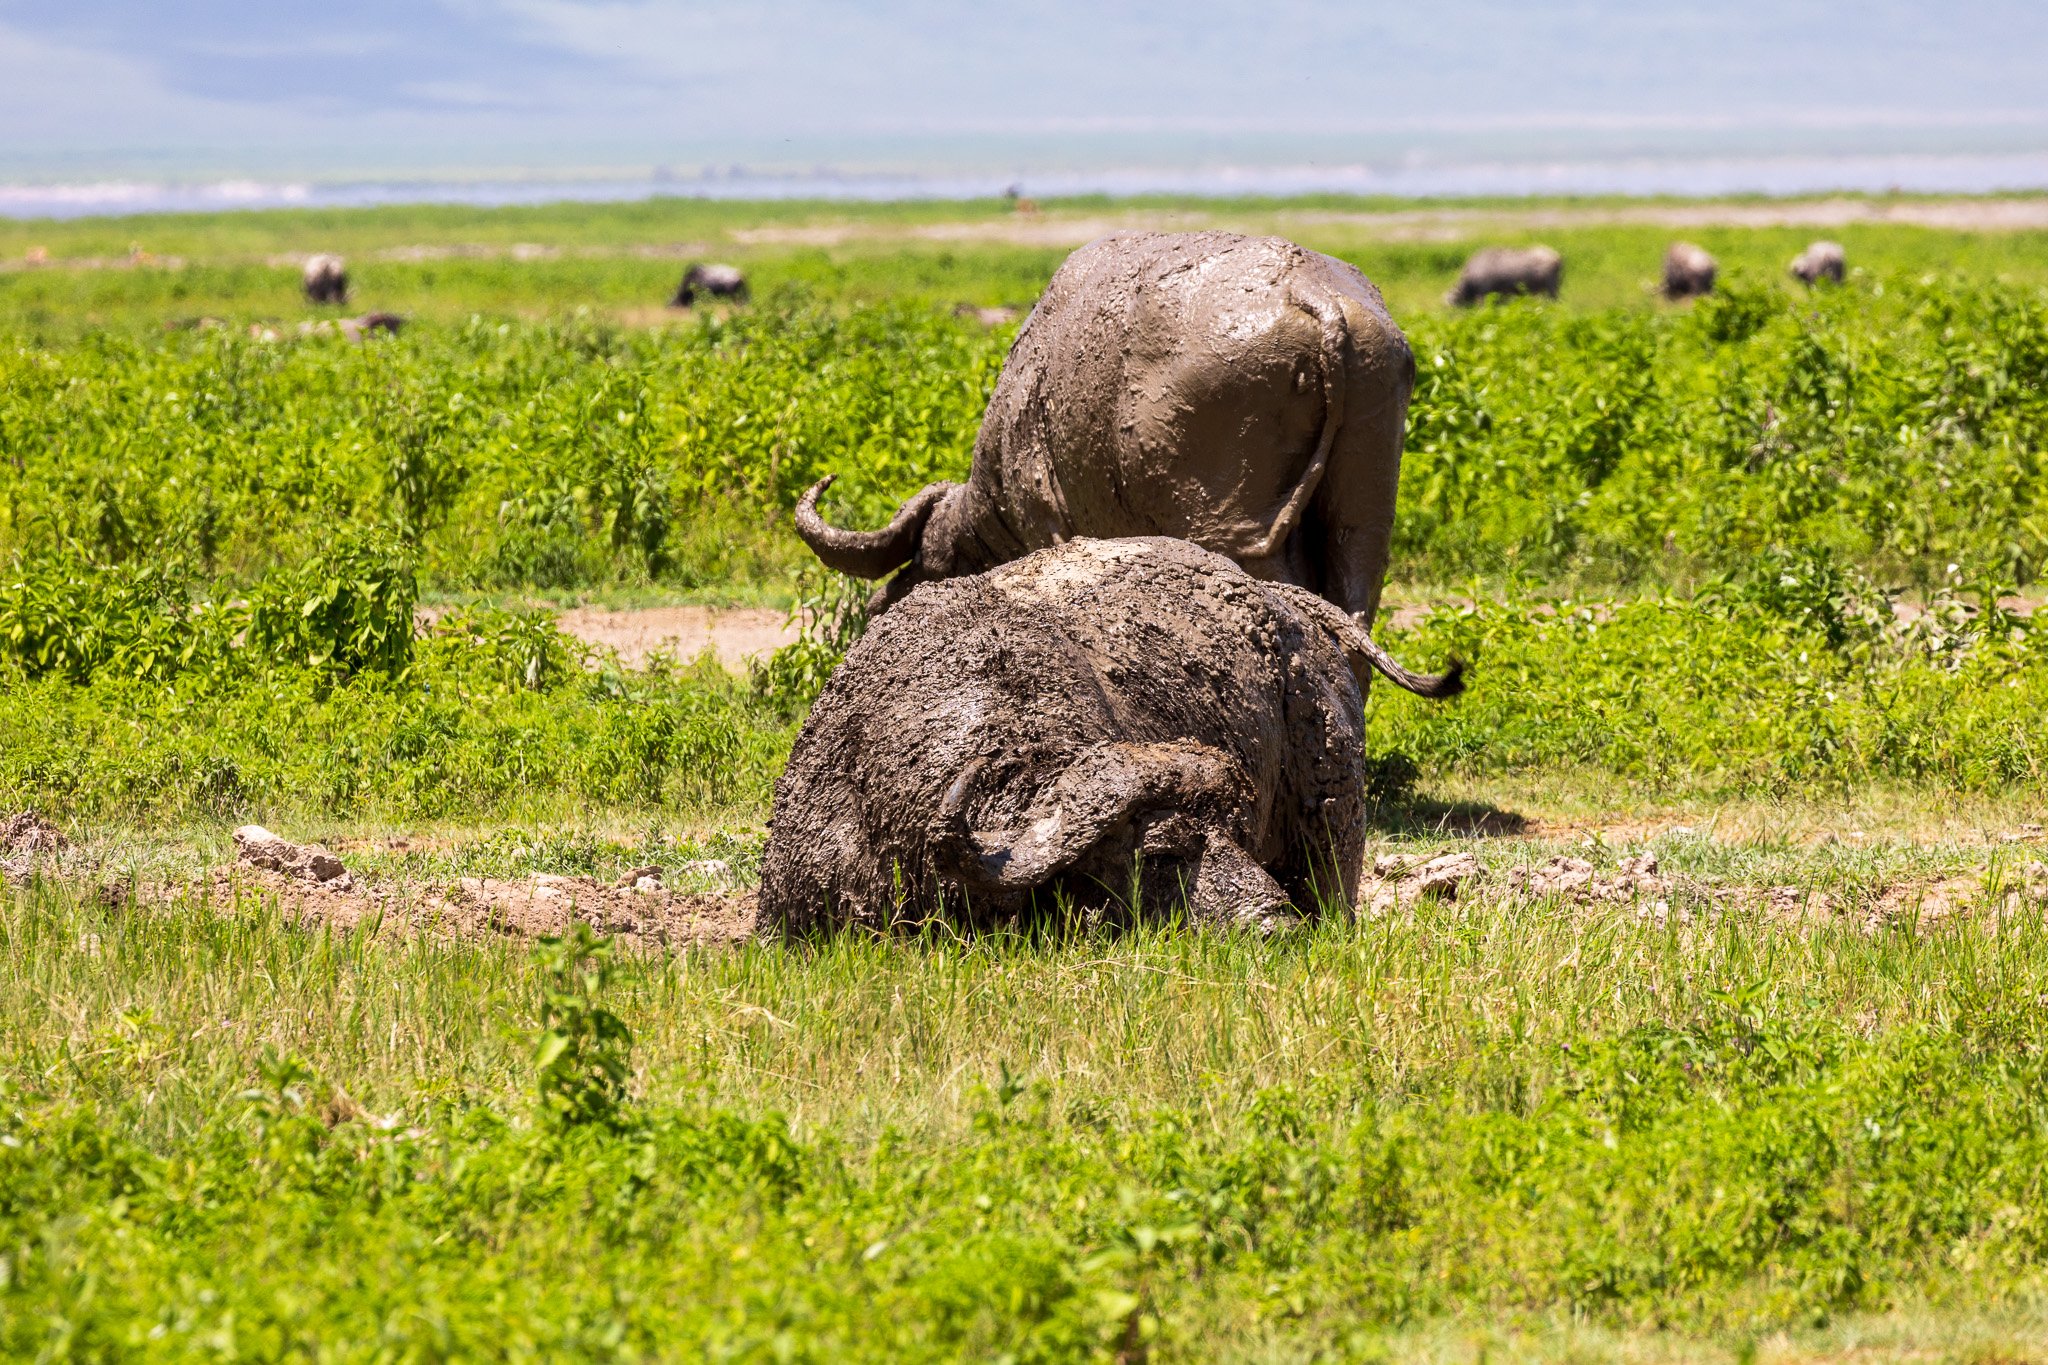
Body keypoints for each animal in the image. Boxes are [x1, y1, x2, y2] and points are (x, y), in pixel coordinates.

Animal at [798, 229, 1425, 626]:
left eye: (931, 564)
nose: (880, 608)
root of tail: (1312, 293)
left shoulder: (1048, 524)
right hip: (1365, 509)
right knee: (1354, 602)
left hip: (1232, 528)